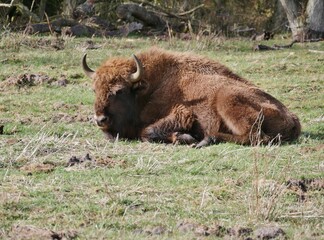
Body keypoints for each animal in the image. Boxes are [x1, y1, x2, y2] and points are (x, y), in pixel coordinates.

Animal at [81, 47, 302, 147]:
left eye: (119, 90)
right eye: (94, 89)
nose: (100, 119)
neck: (148, 89)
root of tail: (293, 119)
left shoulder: (182, 113)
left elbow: (147, 131)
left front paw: (184, 137)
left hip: (227, 99)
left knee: (255, 137)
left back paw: (206, 139)